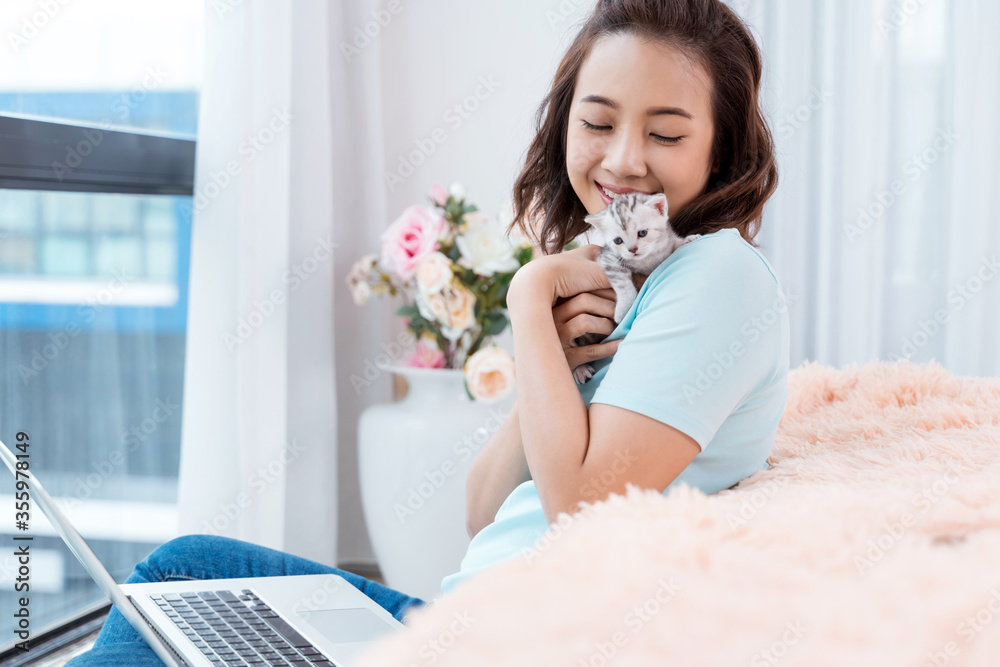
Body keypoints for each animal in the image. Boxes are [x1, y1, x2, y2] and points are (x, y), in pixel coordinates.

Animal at [572, 190, 704, 384]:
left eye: (642, 233)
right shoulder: (609, 259)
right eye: (618, 240)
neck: (647, 259)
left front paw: (689, 239)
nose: (632, 249)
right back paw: (579, 368)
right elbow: (622, 282)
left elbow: (674, 244)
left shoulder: (665, 245)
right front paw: (624, 309)